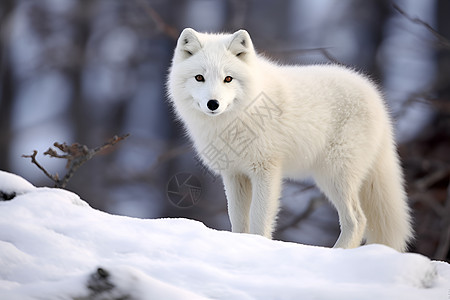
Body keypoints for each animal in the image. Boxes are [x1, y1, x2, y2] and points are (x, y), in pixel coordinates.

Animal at [167, 28, 414, 251]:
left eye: (228, 78)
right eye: (199, 78)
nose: (213, 104)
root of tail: (377, 98)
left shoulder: (266, 171)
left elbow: (259, 219)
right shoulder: (235, 175)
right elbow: (238, 220)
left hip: (334, 176)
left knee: (357, 219)